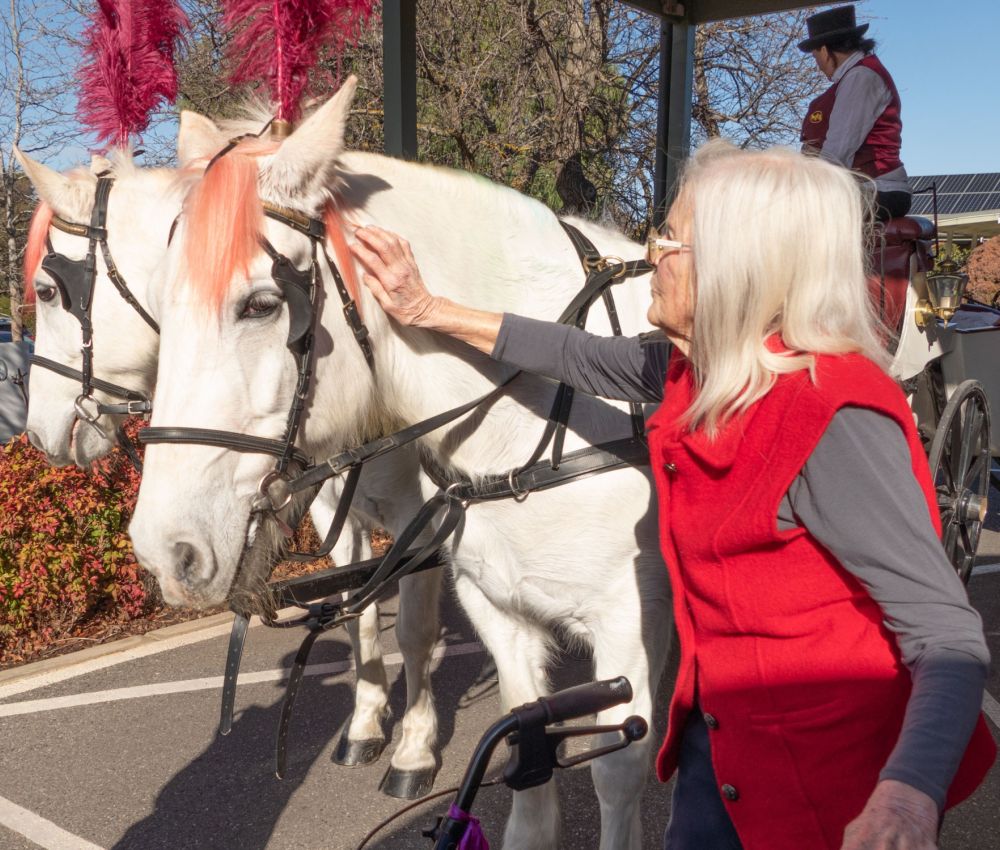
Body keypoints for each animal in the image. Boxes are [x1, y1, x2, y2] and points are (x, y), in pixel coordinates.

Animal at [15, 138, 446, 795]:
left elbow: (414, 630)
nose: (37, 433)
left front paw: (415, 750)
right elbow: (361, 616)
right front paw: (366, 724)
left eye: (45, 291)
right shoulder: (337, 512)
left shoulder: (421, 518)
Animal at [128, 76, 672, 850]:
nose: (163, 548)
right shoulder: (499, 613)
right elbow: (529, 778)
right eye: (157, 312)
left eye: (260, 305)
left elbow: (618, 773)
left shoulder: (629, 625)